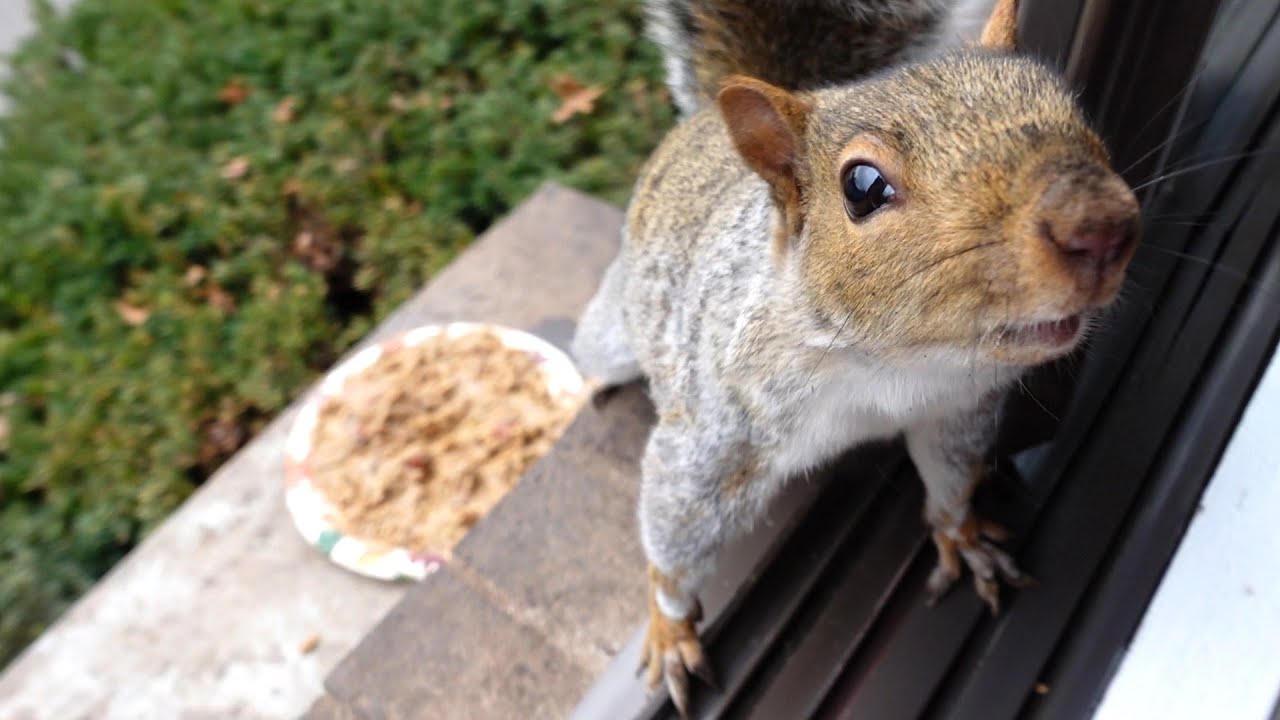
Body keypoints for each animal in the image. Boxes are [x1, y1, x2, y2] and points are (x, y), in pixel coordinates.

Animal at [571, 0, 1141, 715]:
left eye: (1073, 109)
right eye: (862, 186)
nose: (1099, 225)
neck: (894, 364)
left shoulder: (956, 411)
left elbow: (951, 477)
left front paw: (963, 536)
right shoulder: (716, 436)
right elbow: (677, 531)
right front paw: (670, 629)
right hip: (623, 324)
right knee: (597, 342)